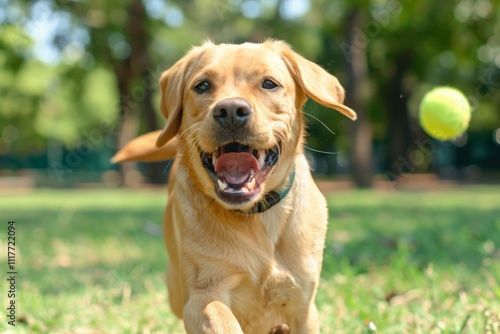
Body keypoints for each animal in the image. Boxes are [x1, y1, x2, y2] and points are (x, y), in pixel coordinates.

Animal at [113, 40, 356, 332]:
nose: (230, 111)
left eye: (269, 84)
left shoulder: (304, 305)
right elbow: (221, 320)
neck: (255, 218)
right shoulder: (203, 296)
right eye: (203, 85)